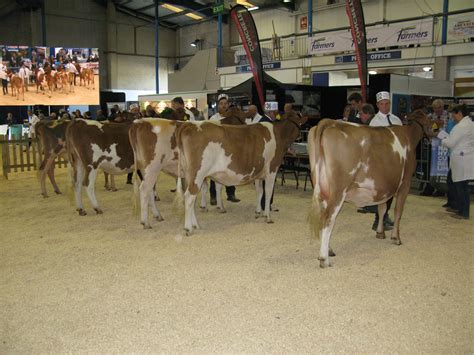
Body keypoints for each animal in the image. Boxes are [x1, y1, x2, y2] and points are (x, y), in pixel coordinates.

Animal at [176, 112, 306, 236]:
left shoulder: (258, 173)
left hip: (189, 174)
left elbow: (259, 192)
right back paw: (188, 228)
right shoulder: (272, 169)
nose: (301, 137)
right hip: (198, 174)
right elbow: (268, 192)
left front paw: (258, 211)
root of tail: (189, 125)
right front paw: (267, 216)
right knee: (189, 197)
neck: (278, 134)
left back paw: (195, 225)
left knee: (191, 198)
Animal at [308, 110, 434, 268]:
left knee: (323, 217)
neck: (408, 135)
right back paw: (324, 259)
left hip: (323, 189)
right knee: (328, 218)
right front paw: (396, 238)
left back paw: (329, 250)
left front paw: (380, 232)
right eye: (430, 120)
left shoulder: (383, 188)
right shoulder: (405, 183)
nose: (435, 134)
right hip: (338, 190)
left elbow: (382, 209)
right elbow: (398, 211)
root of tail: (330, 122)